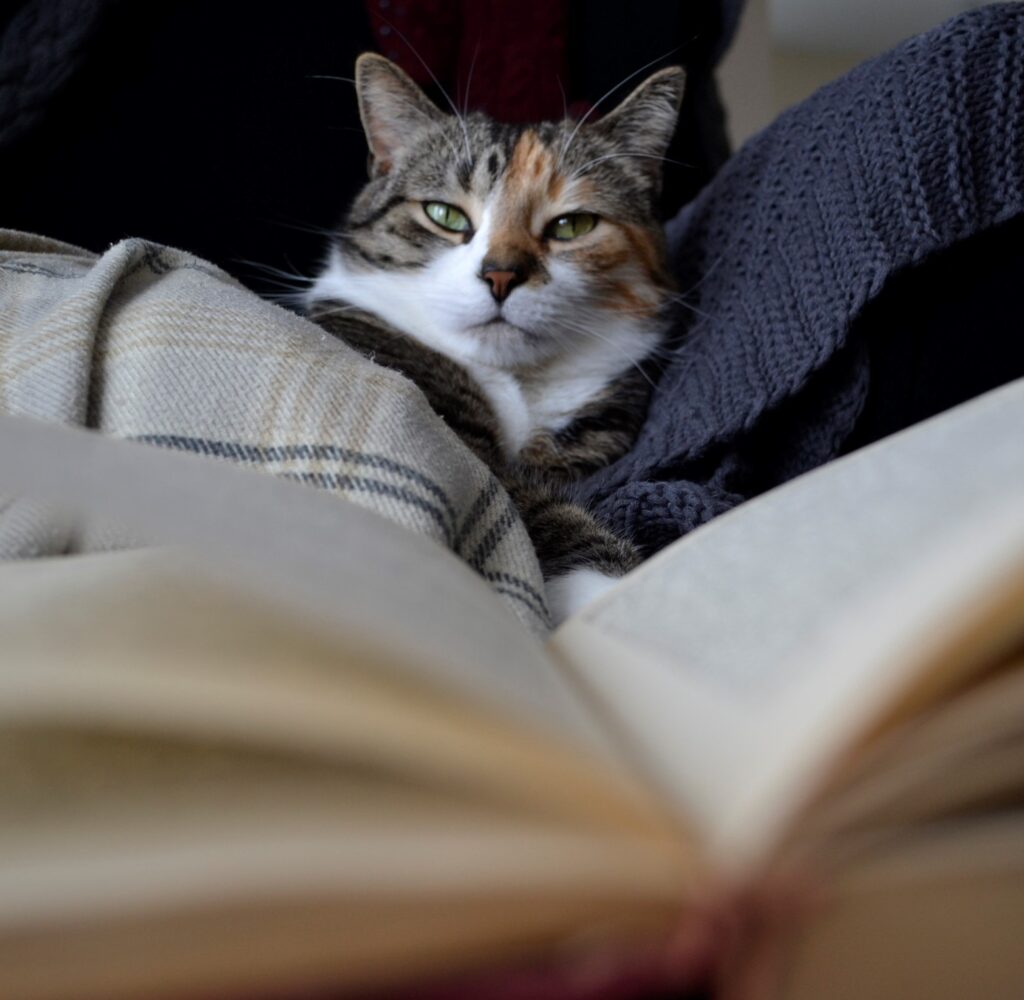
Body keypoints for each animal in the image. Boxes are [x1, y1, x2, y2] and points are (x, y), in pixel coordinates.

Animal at [307, 54, 684, 622]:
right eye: (444, 214)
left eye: (573, 225)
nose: (501, 274)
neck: (515, 383)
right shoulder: (451, 439)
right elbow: (516, 496)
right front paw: (615, 589)